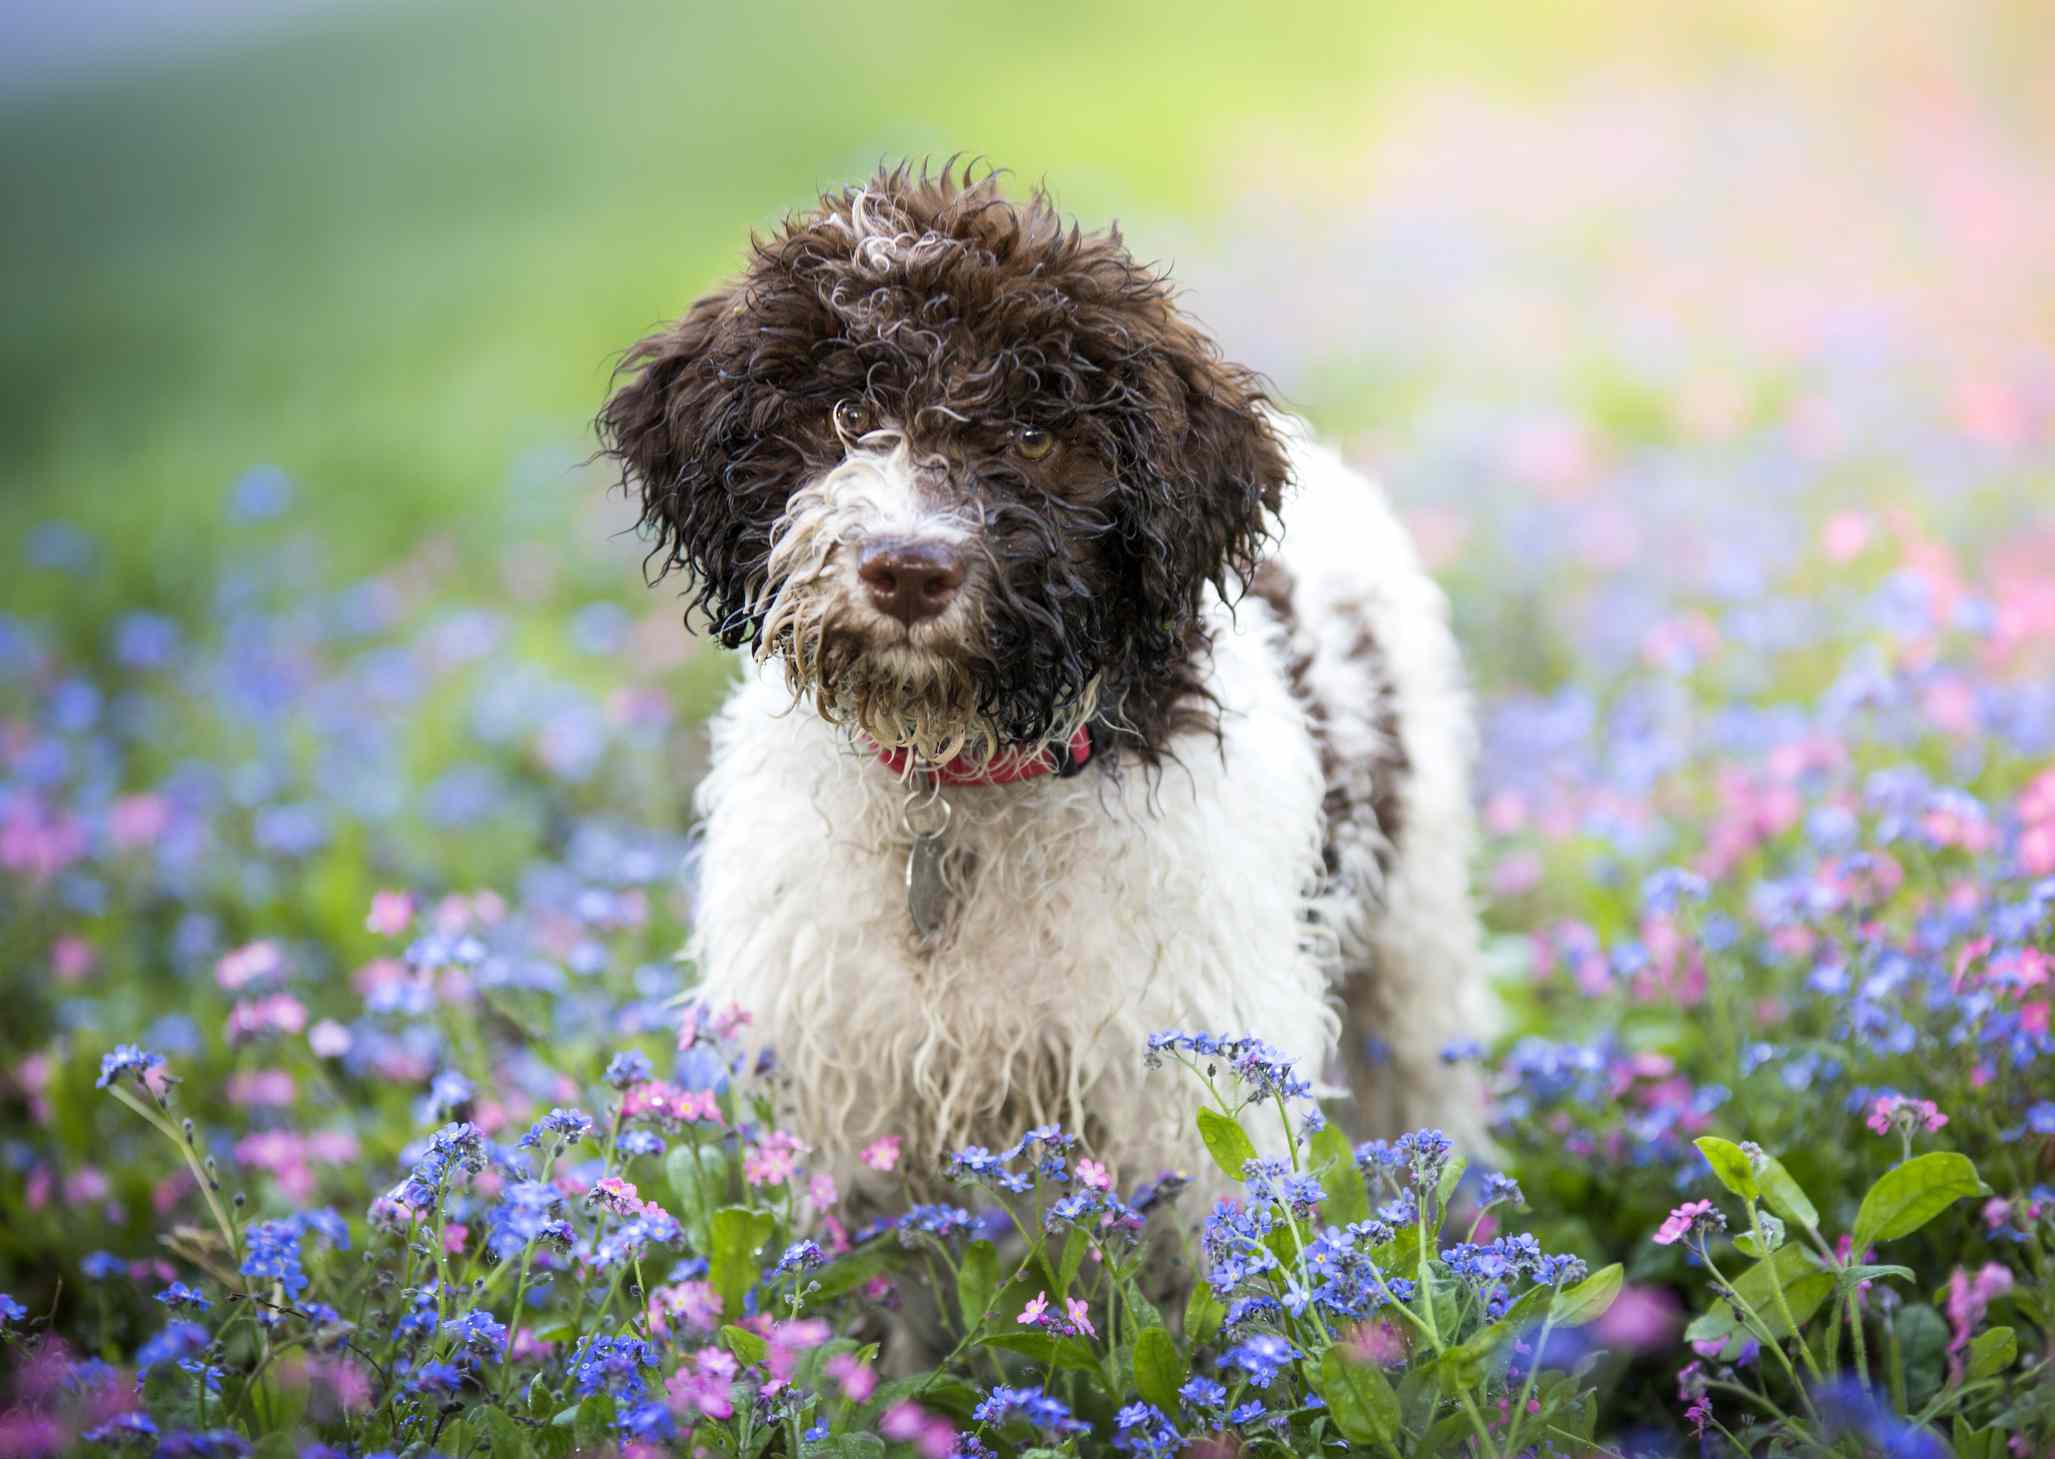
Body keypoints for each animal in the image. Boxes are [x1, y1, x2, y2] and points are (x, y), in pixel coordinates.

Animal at [600, 165, 1496, 1208]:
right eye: (845, 414)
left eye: (1034, 433)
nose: (908, 571)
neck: (959, 781)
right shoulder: (840, 1093)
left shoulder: (1194, 1078)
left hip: (1416, 935)